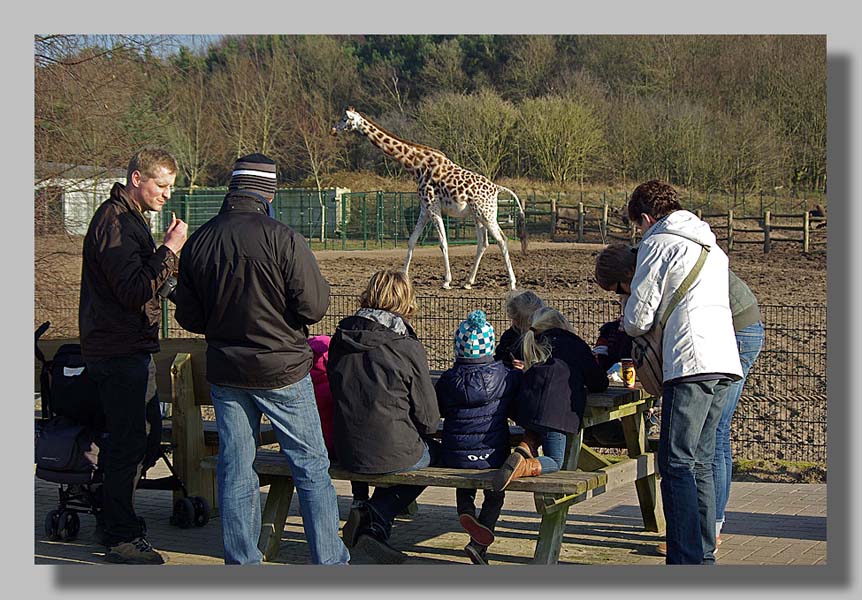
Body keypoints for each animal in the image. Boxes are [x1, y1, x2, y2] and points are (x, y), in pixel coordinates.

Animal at [334, 108, 528, 290]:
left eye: (344, 119)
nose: (334, 129)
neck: (415, 165)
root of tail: (497, 189)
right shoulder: (424, 207)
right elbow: (412, 240)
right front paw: (403, 276)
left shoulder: (432, 205)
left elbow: (442, 242)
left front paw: (447, 281)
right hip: (478, 216)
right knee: (483, 243)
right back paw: (468, 282)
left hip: (486, 214)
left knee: (502, 239)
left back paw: (511, 282)